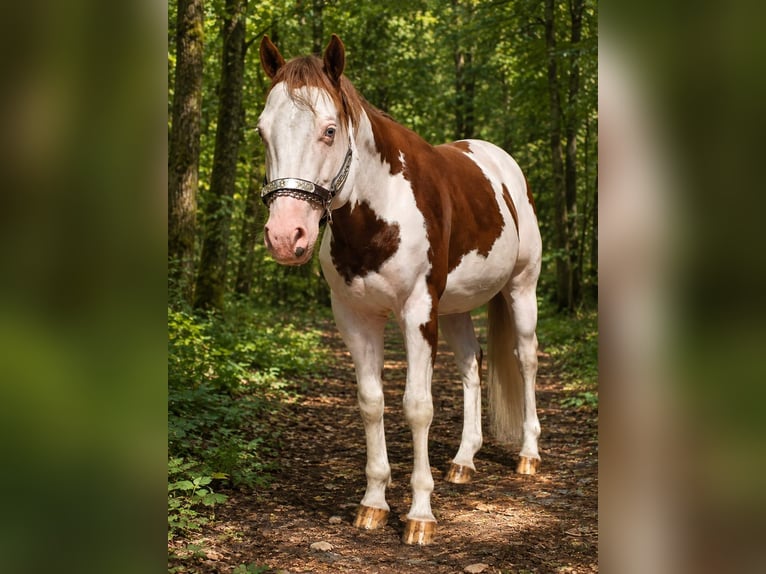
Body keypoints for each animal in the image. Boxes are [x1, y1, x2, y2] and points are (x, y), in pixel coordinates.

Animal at [257, 34, 542, 545]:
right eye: (262, 132)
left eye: (329, 130)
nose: (286, 236)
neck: (378, 212)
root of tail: (505, 166)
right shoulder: (356, 319)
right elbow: (372, 404)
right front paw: (373, 503)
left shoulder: (417, 313)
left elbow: (417, 407)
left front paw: (420, 514)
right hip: (455, 309)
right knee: (471, 367)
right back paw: (464, 460)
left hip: (521, 289)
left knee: (525, 360)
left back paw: (528, 454)